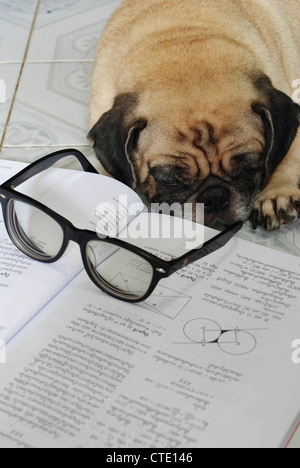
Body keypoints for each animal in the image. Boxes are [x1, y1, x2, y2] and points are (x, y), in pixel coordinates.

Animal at [88, 0, 300, 230]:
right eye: (170, 179)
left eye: (248, 168)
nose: (215, 196)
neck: (181, 39)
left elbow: (288, 157)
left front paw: (276, 192)